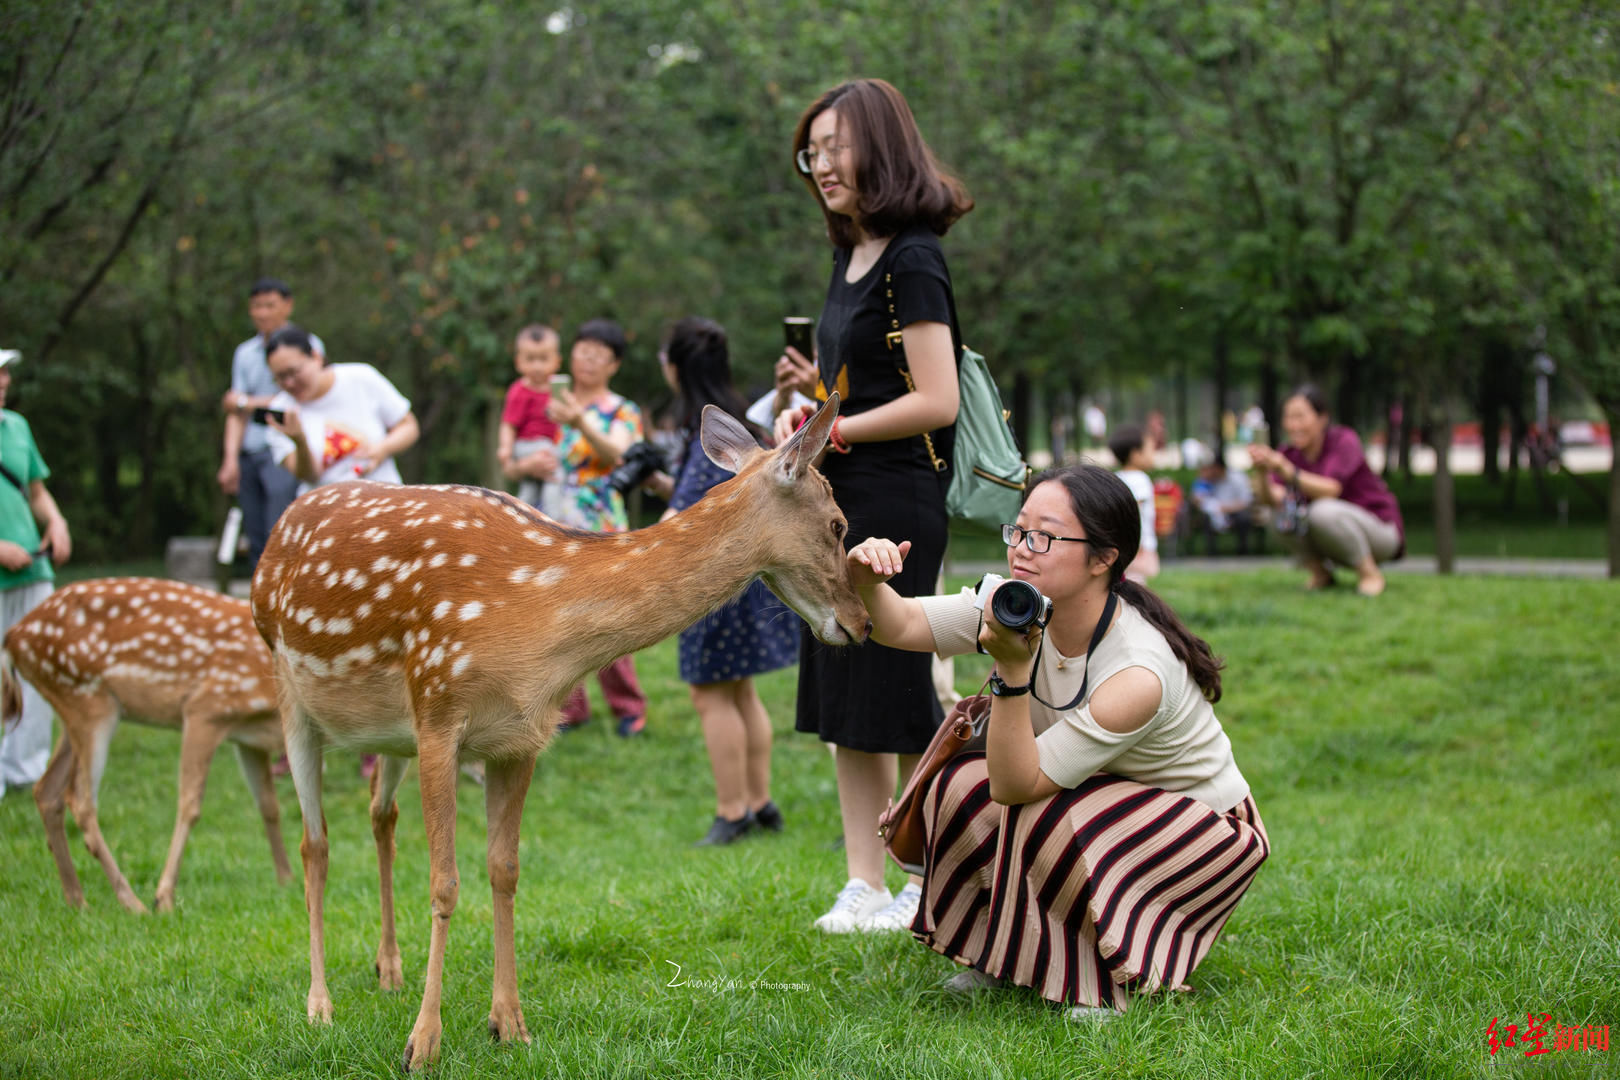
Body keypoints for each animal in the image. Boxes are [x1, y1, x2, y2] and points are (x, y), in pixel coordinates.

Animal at [2, 579, 291, 919]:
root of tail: (13, 637)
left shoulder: (247, 737)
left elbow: (269, 805)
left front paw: (286, 880)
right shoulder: (205, 708)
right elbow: (189, 805)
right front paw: (163, 897)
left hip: (72, 709)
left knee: (47, 791)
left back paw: (77, 899)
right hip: (88, 700)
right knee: (80, 799)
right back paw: (131, 901)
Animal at [246, 393, 868, 1068]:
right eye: (839, 524)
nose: (862, 623)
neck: (544, 626)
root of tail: (277, 531)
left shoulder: (520, 738)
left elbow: (505, 870)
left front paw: (508, 1023)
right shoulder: (439, 708)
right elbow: (444, 883)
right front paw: (423, 1043)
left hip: (388, 730)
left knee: (379, 814)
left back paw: (389, 969)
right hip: (292, 690)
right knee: (315, 843)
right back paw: (320, 1004)